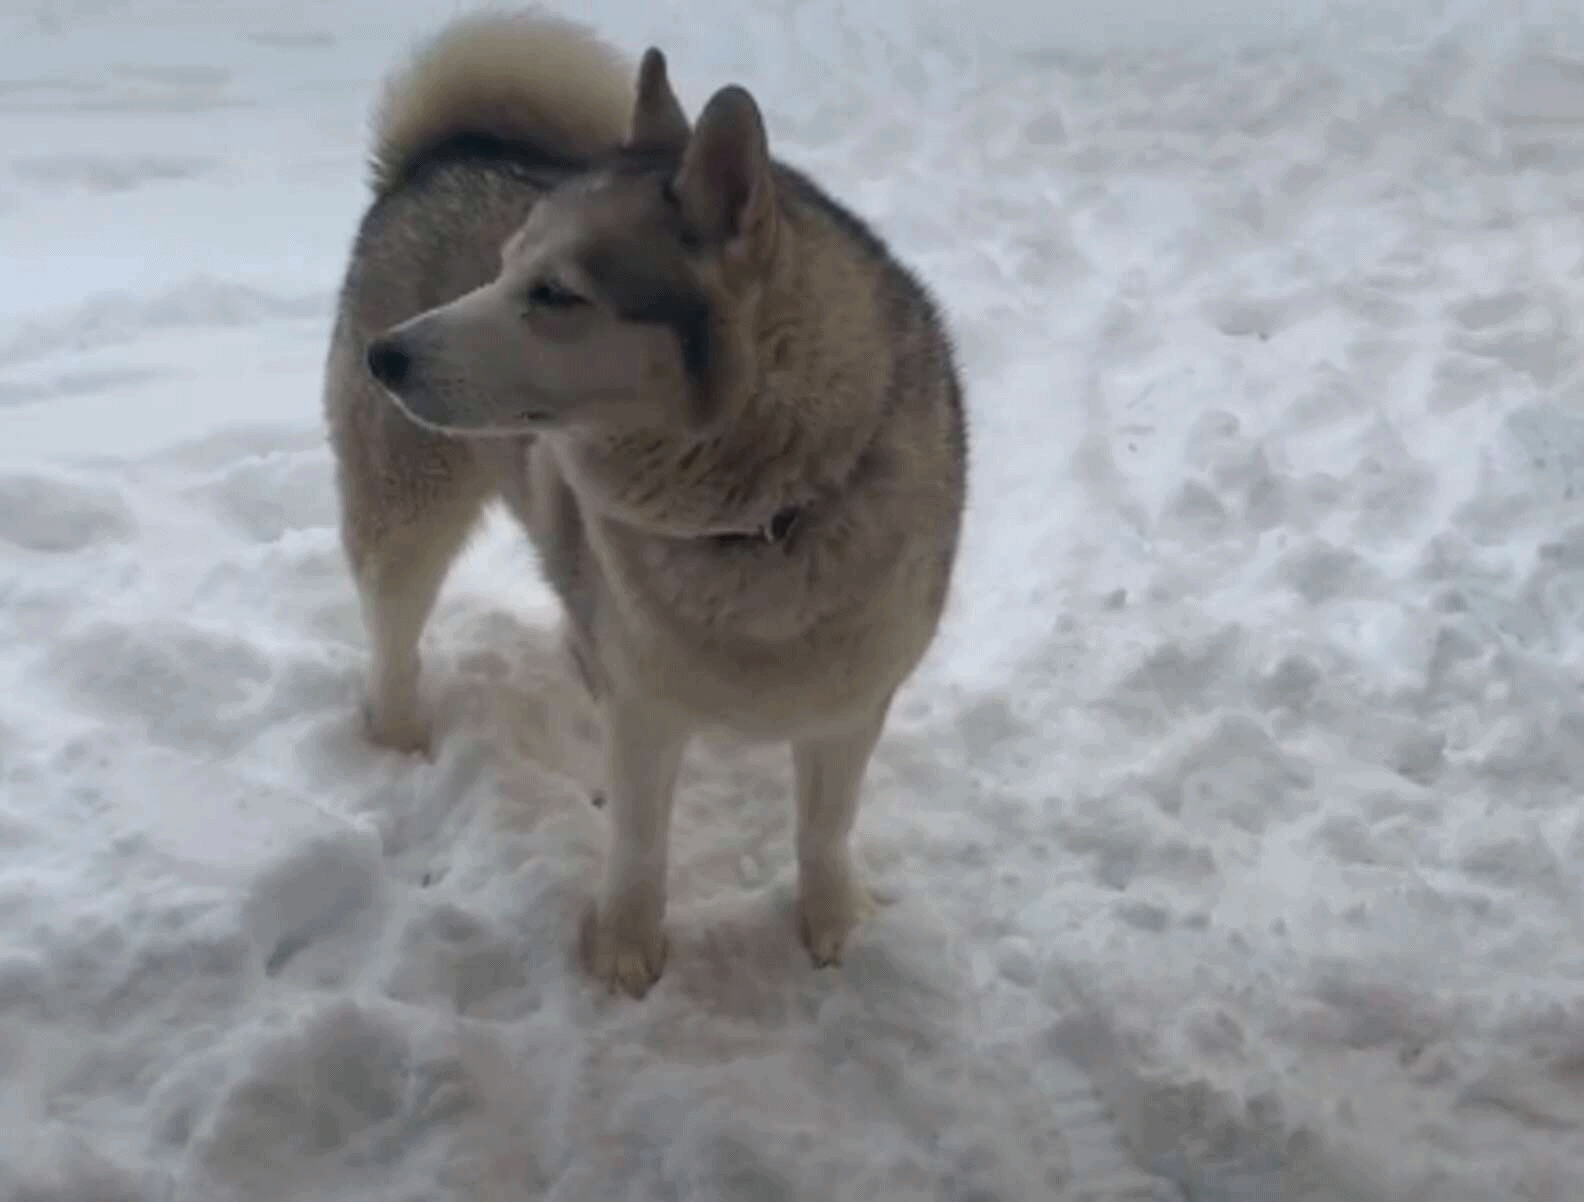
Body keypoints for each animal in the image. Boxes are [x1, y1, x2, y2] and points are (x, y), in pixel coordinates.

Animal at [321, 11, 963, 994]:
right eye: (500, 270)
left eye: (554, 293)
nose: (384, 358)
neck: (763, 518)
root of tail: (432, 158)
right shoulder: (645, 707)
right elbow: (637, 839)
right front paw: (626, 949)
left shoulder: (853, 703)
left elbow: (826, 828)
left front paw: (833, 927)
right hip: (405, 520)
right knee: (393, 640)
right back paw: (400, 741)